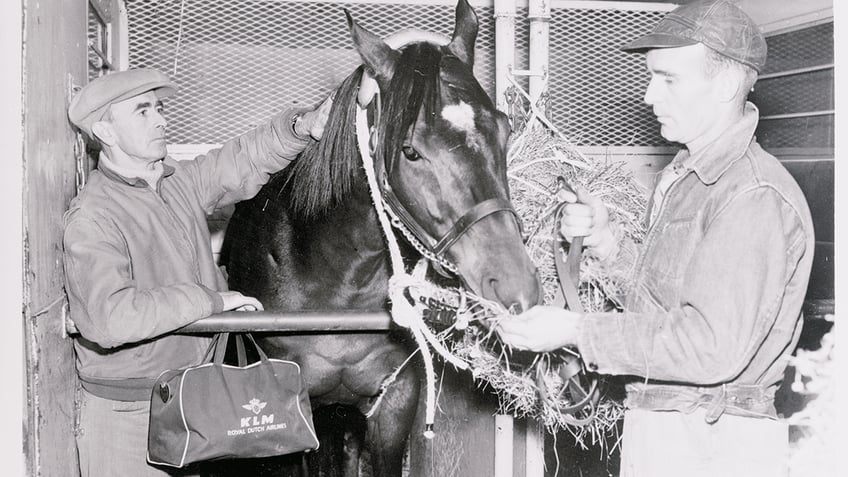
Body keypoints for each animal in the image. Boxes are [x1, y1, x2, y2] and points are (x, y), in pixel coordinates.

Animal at [225, 1, 540, 474]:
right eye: (410, 151)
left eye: (504, 129)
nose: (514, 283)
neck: (338, 280)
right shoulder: (294, 419)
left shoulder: (394, 405)